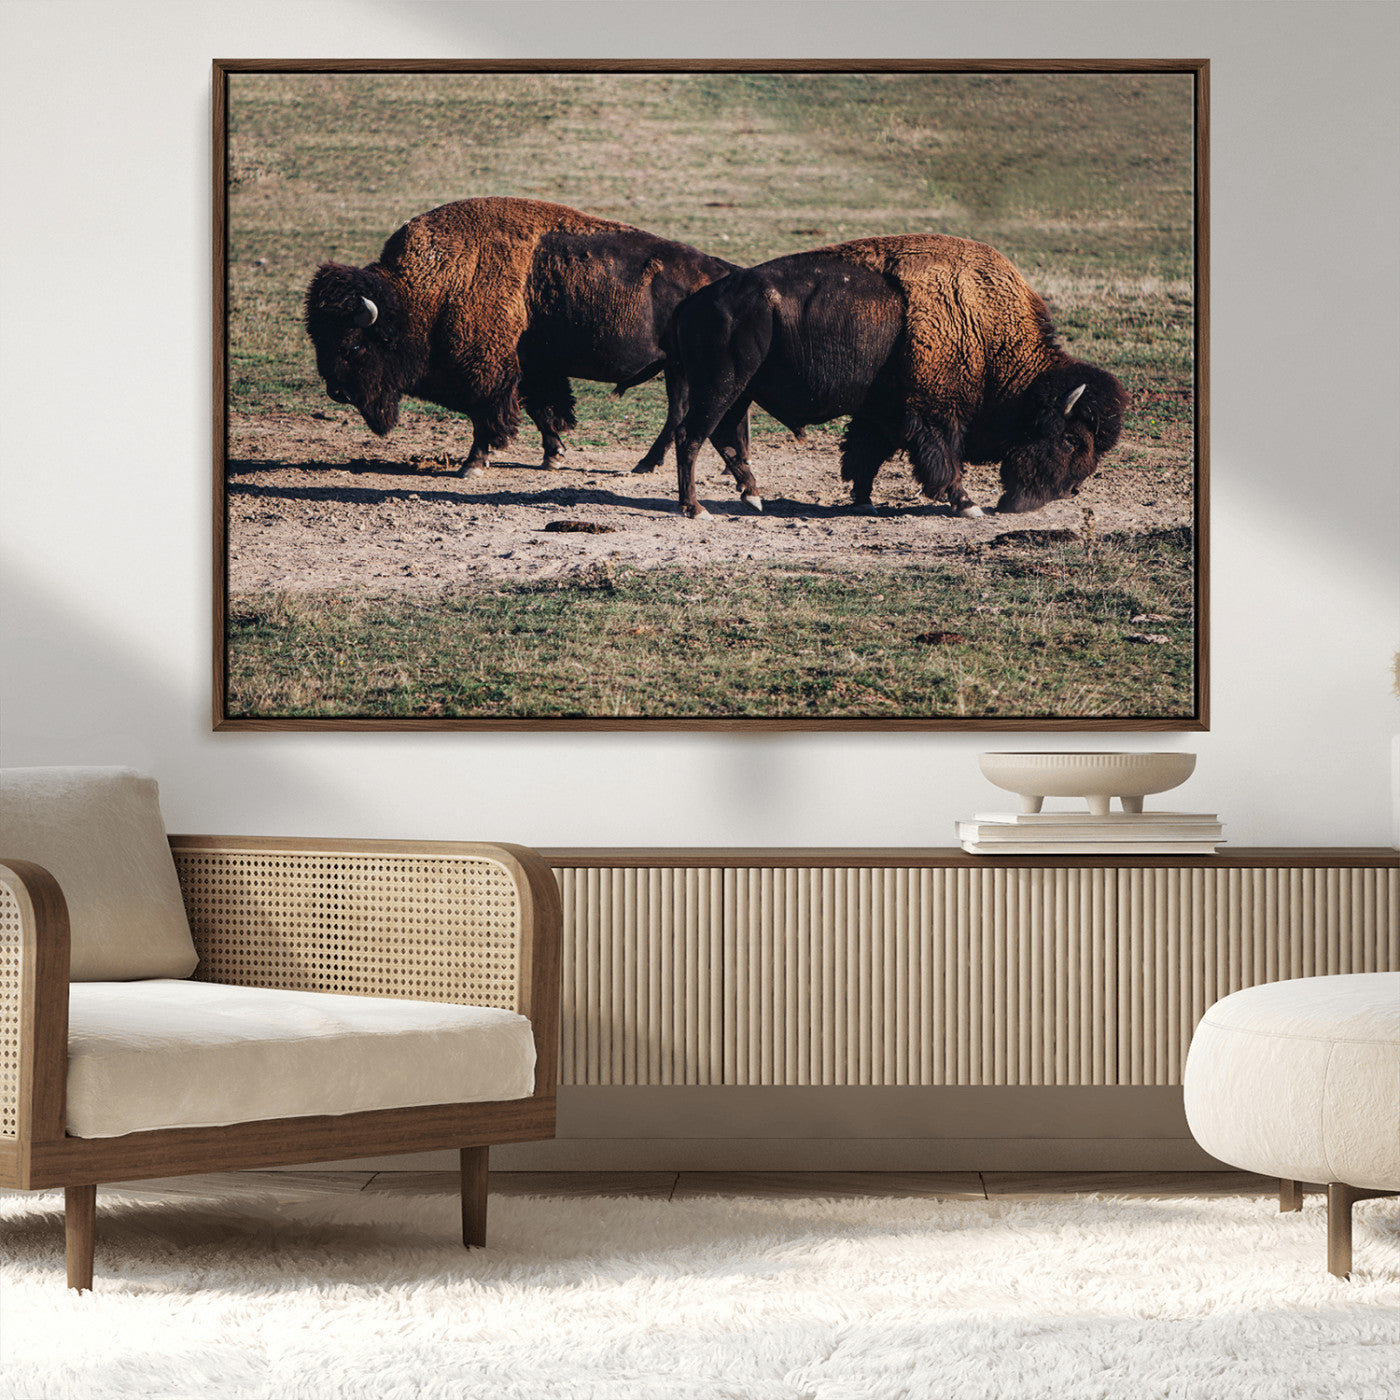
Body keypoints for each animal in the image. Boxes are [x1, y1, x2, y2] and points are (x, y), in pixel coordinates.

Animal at [305, 197, 745, 474]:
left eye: (354, 345)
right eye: (318, 338)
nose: (337, 392)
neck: (427, 290)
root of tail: (726, 272)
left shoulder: (488, 372)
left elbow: (488, 415)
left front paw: (472, 465)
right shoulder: (533, 368)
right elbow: (542, 410)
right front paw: (554, 456)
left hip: (683, 369)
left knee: (680, 414)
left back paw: (648, 465)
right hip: (678, 369)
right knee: (682, 412)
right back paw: (658, 465)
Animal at [663, 234, 1128, 518]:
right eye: (1071, 440)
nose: (1065, 492)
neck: (985, 329)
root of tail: (692, 303)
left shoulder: (882, 414)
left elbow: (864, 456)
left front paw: (863, 502)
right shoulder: (933, 415)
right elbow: (943, 461)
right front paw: (967, 504)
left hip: (739, 391)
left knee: (723, 438)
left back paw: (753, 497)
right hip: (721, 386)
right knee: (691, 436)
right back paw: (696, 508)